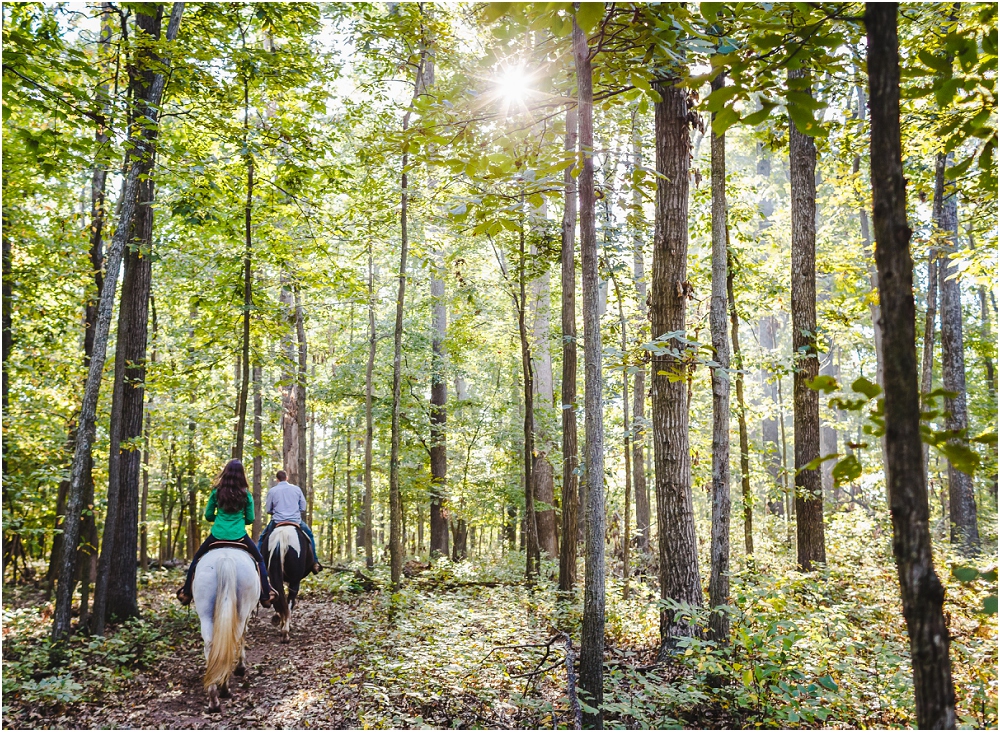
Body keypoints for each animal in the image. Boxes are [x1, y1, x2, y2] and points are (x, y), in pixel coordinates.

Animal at [191, 548, 260, 712]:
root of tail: (225, 559)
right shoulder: (246, 615)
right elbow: (243, 636)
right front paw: (240, 668)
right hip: (241, 611)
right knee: (234, 640)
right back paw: (224, 688)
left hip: (205, 614)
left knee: (210, 645)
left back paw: (214, 699)